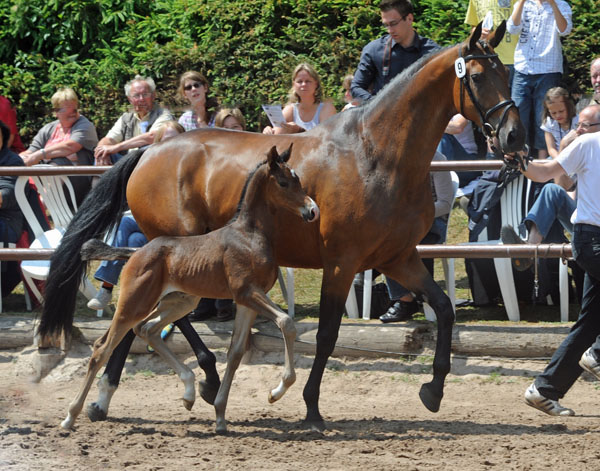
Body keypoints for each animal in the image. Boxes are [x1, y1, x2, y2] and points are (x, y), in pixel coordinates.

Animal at [60, 145, 318, 436]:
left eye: (298, 180)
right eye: (284, 182)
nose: (312, 210)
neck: (249, 235)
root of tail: (135, 252)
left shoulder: (247, 301)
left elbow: (236, 352)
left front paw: (220, 416)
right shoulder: (246, 292)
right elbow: (286, 322)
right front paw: (276, 391)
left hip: (179, 302)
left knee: (147, 330)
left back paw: (188, 392)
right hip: (134, 303)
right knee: (102, 347)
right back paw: (70, 416)